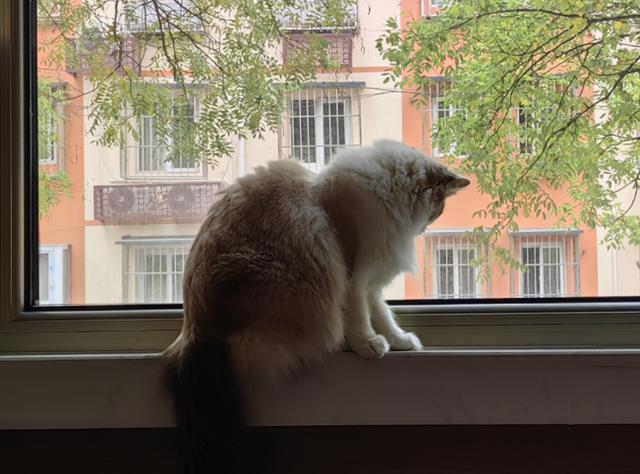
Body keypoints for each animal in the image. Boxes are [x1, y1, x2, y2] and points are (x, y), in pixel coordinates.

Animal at [163, 139, 470, 473]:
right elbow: (360, 317)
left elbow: (384, 316)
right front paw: (367, 346)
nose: (426, 227)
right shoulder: (354, 276)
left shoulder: (371, 278)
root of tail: (193, 328)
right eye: (437, 208)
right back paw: (339, 344)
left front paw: (400, 342)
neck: (387, 194)